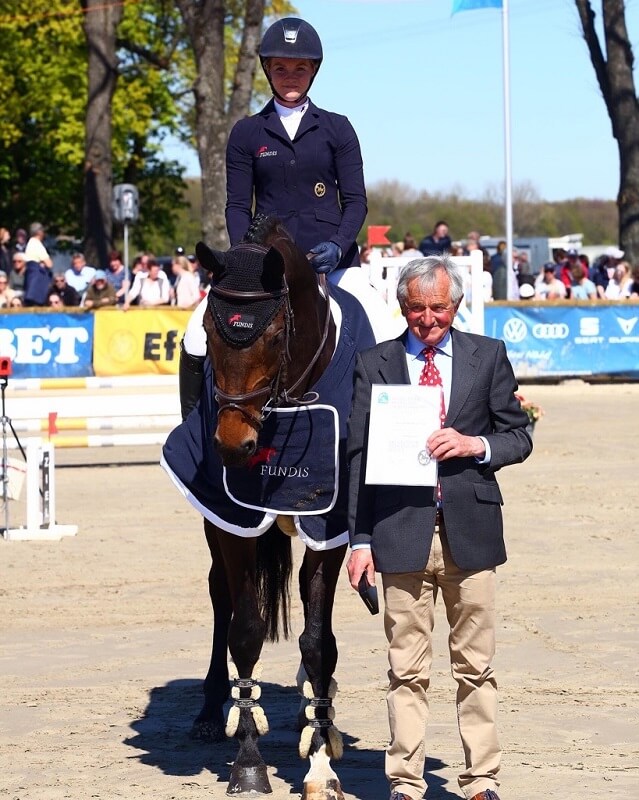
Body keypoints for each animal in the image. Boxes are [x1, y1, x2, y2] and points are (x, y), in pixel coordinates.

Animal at [162, 216, 378, 800]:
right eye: (210, 330)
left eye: (277, 333)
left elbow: (319, 642)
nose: (233, 445)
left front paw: (322, 763)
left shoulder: (330, 526)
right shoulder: (232, 521)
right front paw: (248, 764)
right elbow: (246, 630)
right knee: (220, 597)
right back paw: (212, 712)